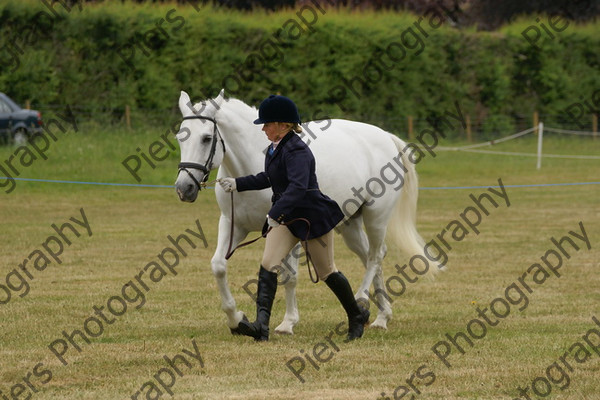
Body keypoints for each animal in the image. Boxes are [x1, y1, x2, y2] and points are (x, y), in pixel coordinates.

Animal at [173, 89, 436, 332]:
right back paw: (382, 316)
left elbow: (288, 275)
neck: (252, 159)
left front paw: (288, 323)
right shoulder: (232, 224)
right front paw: (236, 318)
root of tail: (385, 137)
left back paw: (363, 301)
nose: (184, 188)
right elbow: (218, 266)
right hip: (350, 225)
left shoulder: (287, 227)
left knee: (375, 256)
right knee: (371, 256)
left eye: (207, 138)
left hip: (376, 218)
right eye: (180, 138)